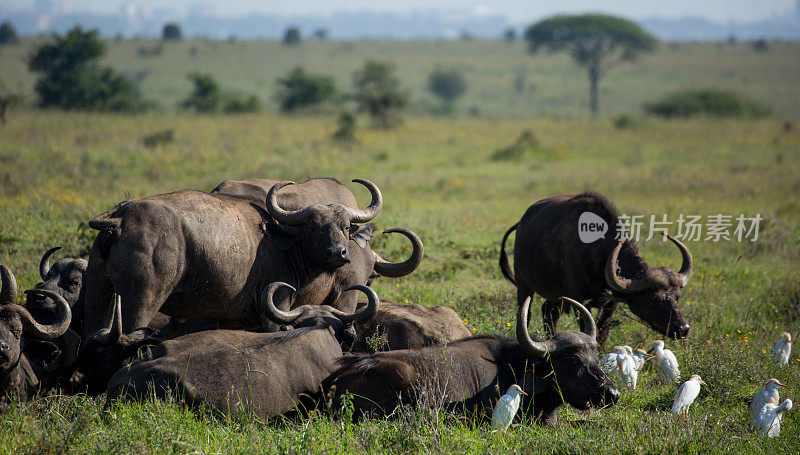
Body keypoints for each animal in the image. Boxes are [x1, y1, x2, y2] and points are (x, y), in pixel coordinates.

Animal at [500, 191, 692, 344]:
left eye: (677, 297)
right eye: (653, 298)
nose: (683, 328)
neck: (597, 249)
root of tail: (521, 223)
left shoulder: (610, 303)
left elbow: (602, 332)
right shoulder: (579, 300)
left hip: (556, 295)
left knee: (549, 312)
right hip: (524, 287)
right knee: (526, 315)